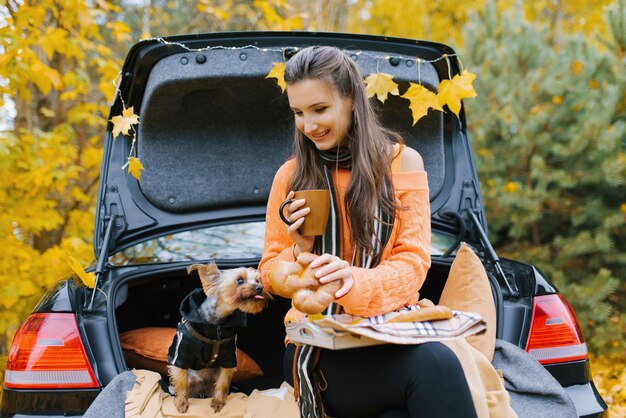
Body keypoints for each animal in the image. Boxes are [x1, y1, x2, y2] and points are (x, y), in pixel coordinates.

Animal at [166, 262, 268, 414]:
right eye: (239, 280)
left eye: (258, 280)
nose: (260, 288)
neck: (216, 324)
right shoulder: (181, 353)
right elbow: (181, 380)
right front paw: (181, 402)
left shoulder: (229, 356)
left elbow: (222, 382)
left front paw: (218, 402)